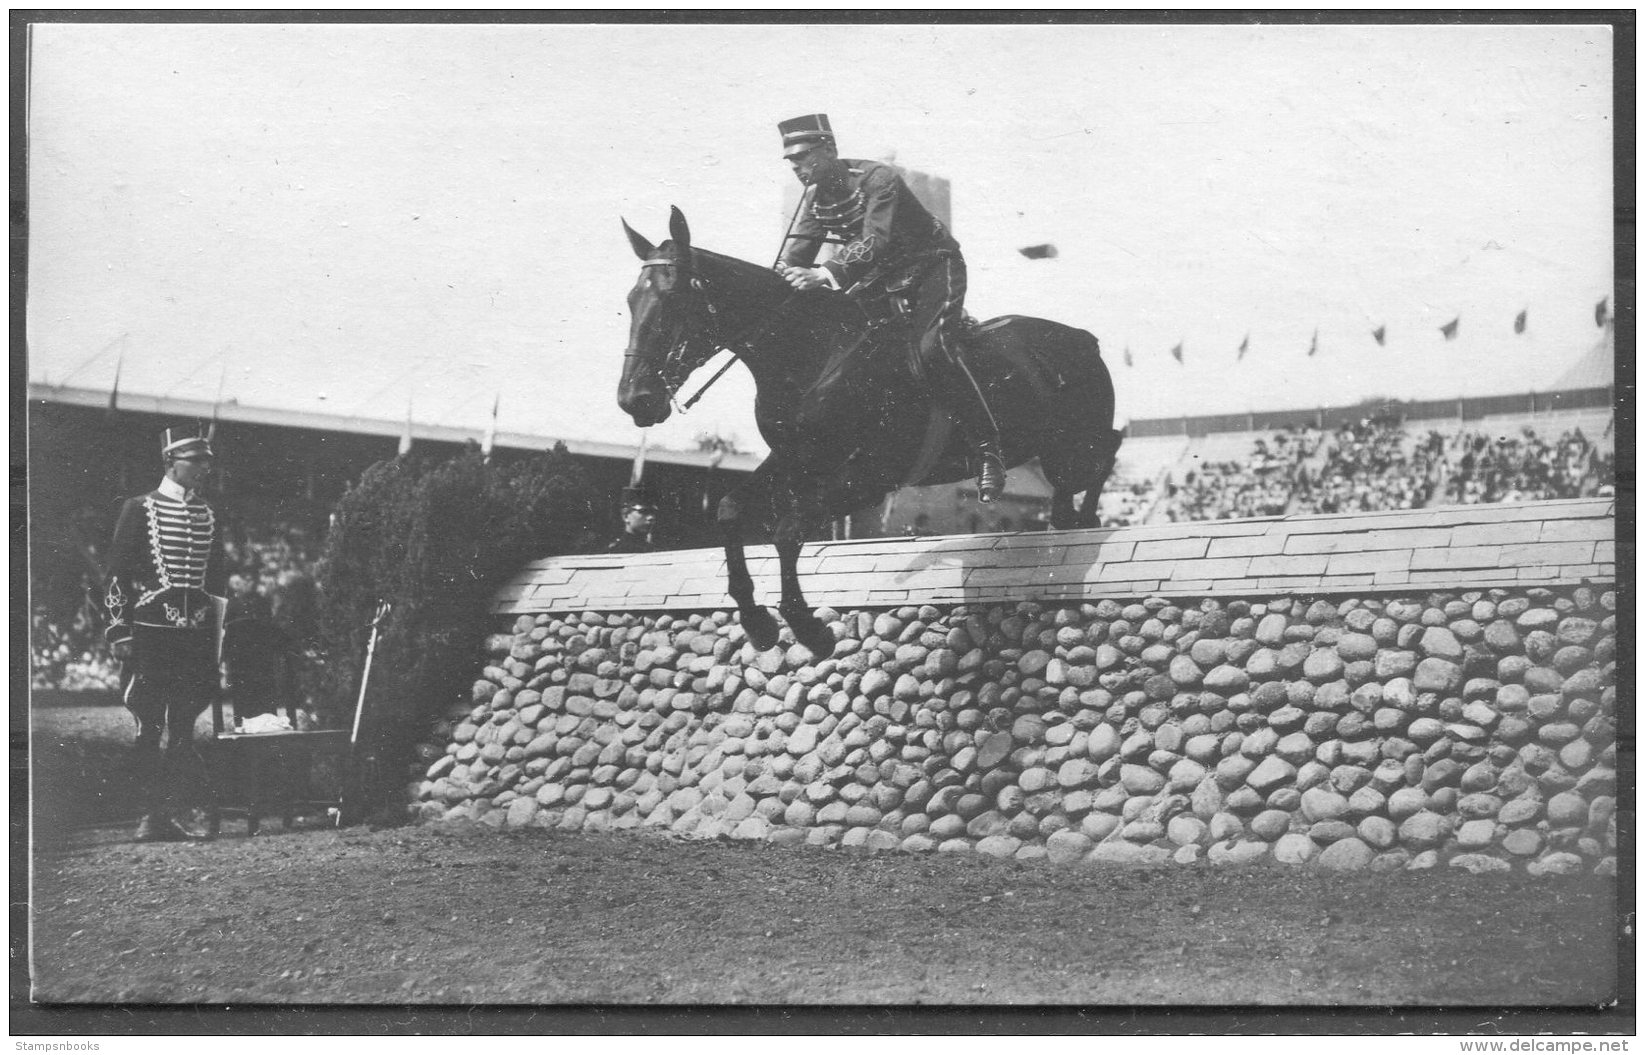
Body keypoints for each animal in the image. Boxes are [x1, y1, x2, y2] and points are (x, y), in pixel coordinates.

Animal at [615, 204, 1118, 651]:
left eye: (674, 299)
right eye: (630, 301)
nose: (635, 399)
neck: (816, 355)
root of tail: (1085, 339)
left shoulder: (870, 477)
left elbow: (788, 531)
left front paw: (807, 628)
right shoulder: (796, 460)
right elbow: (729, 509)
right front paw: (757, 622)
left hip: (1073, 449)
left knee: (1104, 456)